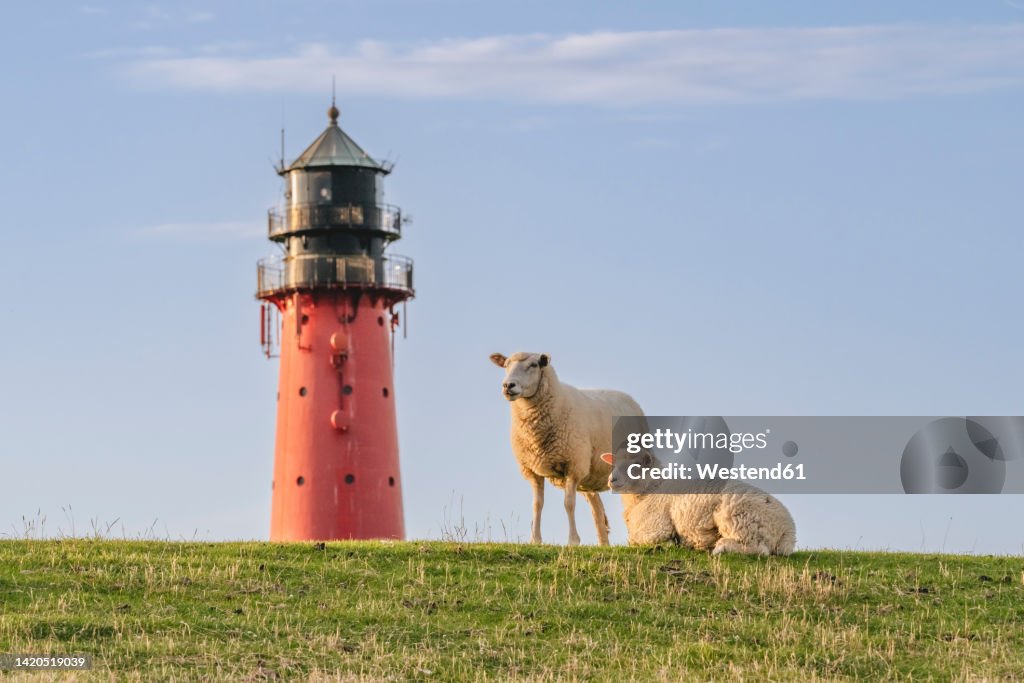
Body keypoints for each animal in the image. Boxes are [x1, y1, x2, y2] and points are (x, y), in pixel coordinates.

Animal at [490, 351, 645, 546]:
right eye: (506, 365)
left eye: (534, 365)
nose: (508, 385)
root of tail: (627, 397)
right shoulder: (532, 470)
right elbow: (537, 504)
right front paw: (535, 539)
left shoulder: (574, 465)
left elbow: (569, 503)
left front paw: (572, 540)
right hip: (589, 478)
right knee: (597, 508)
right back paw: (604, 544)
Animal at [600, 448, 796, 555]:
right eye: (614, 463)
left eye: (635, 465)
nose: (611, 479)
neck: (651, 489)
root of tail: (787, 531)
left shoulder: (655, 528)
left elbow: (634, 541)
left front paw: (670, 544)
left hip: (739, 517)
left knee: (758, 549)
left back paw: (719, 548)